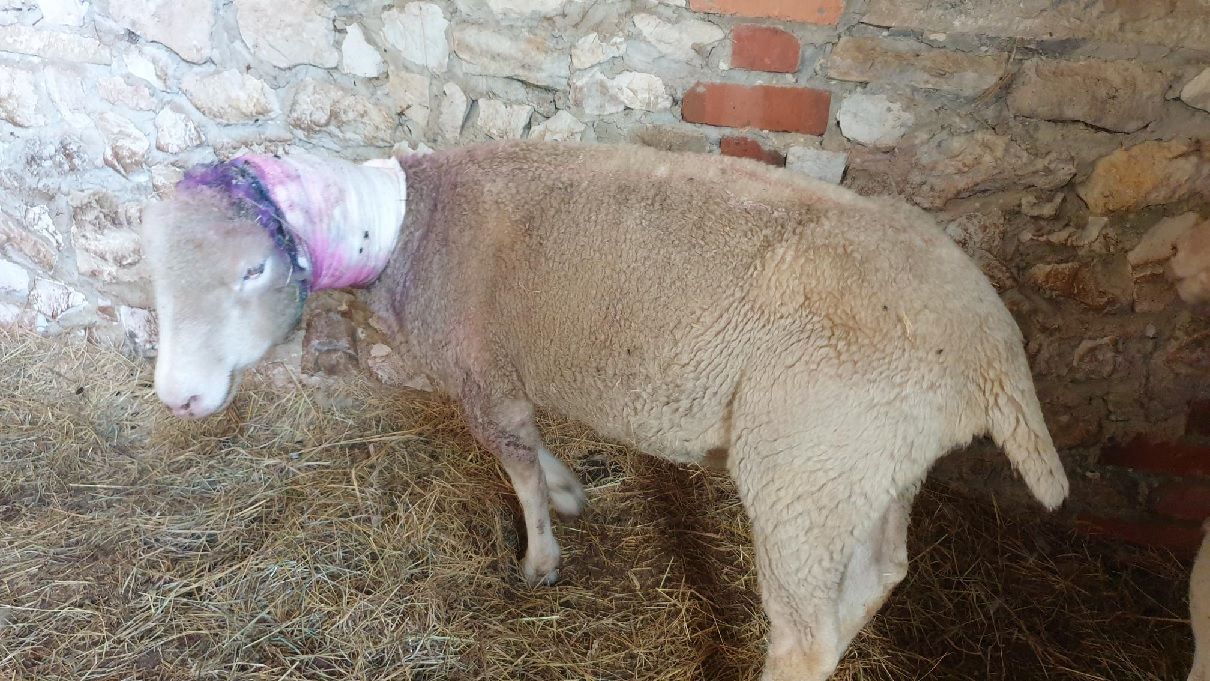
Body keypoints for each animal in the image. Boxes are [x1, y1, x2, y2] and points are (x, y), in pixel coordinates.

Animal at [142, 140, 1069, 681]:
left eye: (254, 270)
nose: (177, 397)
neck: (405, 231)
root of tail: (993, 346)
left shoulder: (481, 372)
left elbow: (514, 461)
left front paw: (541, 556)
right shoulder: (503, 374)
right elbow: (532, 444)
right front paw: (569, 492)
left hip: (807, 462)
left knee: (804, 634)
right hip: (875, 460)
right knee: (879, 573)